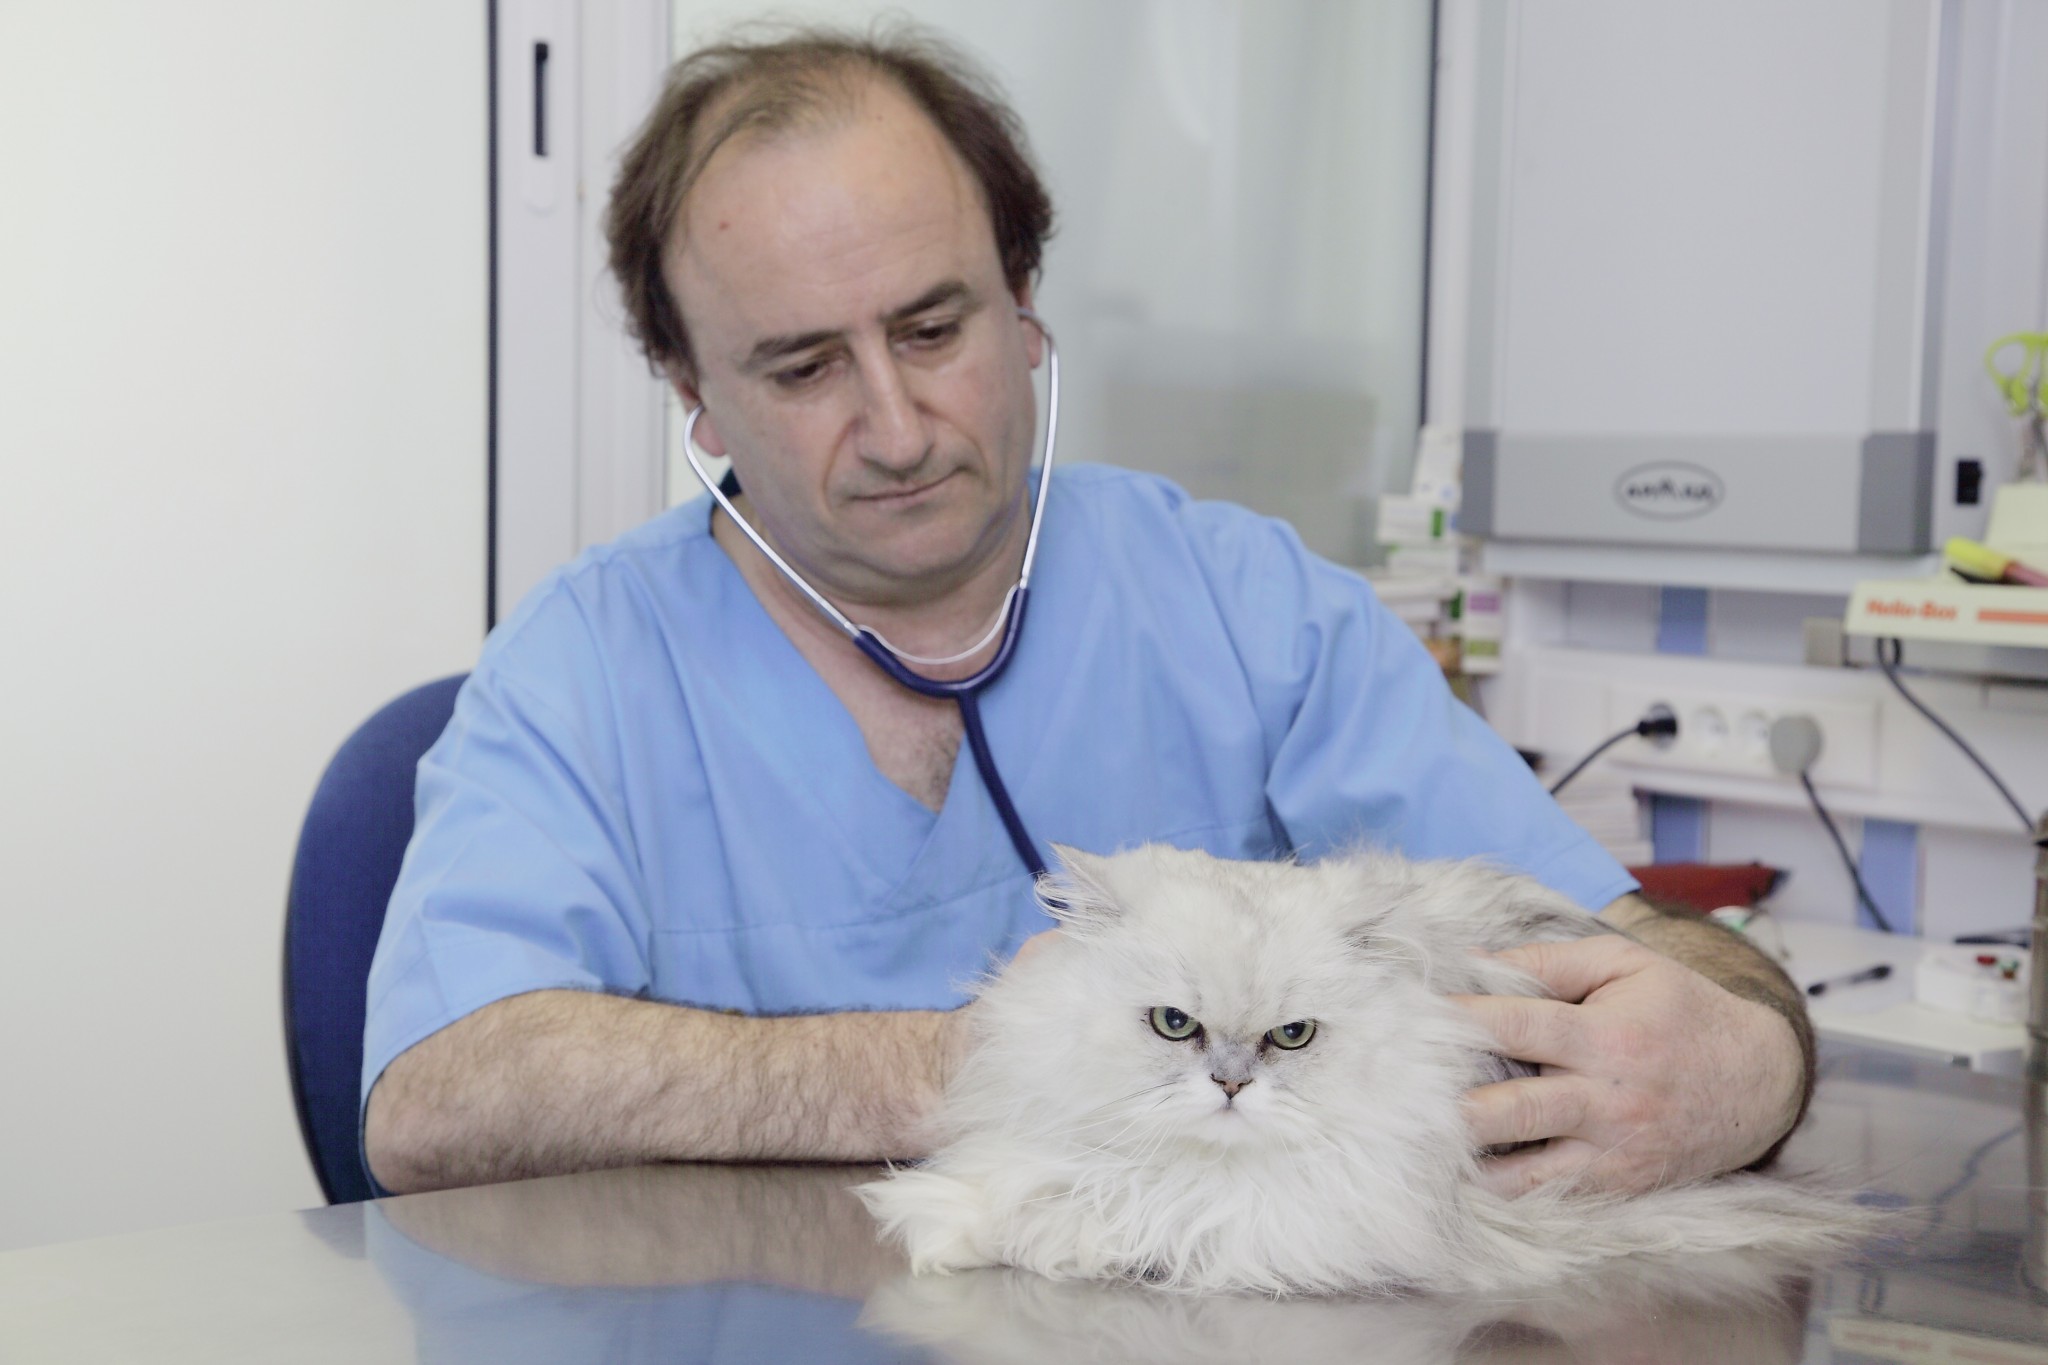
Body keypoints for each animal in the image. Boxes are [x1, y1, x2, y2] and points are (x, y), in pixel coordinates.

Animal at [857, 844, 1870, 1296]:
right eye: (1176, 1025)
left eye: (1293, 1035)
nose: (1230, 1085)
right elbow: (1036, 1180)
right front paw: (965, 1223)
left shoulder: (1314, 1216)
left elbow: (1140, 1208)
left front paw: (1046, 1233)